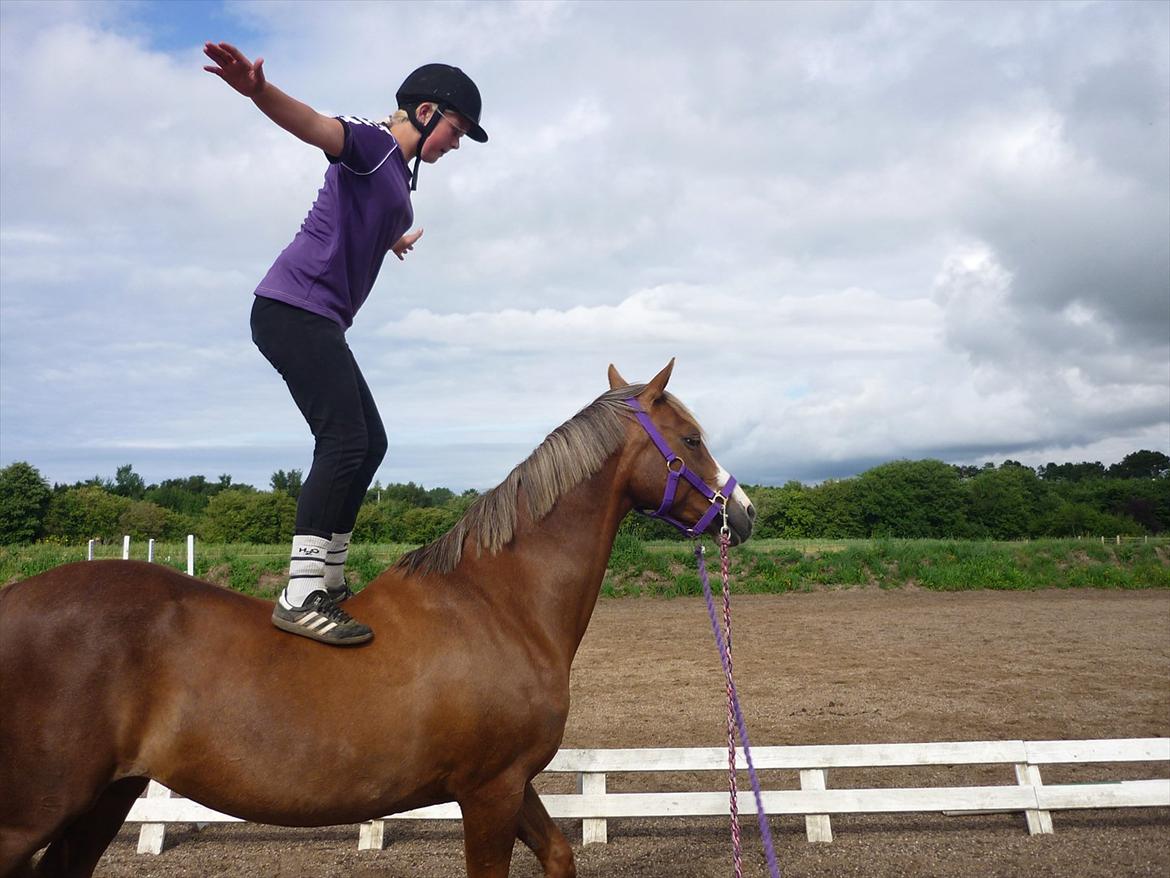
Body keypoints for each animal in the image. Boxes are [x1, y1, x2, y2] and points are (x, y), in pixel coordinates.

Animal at [0, 358, 748, 878]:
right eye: (690, 438)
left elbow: (560, 854)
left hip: (106, 798)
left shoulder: (513, 783)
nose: (741, 513)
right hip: (34, 814)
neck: (498, 603)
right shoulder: (489, 791)